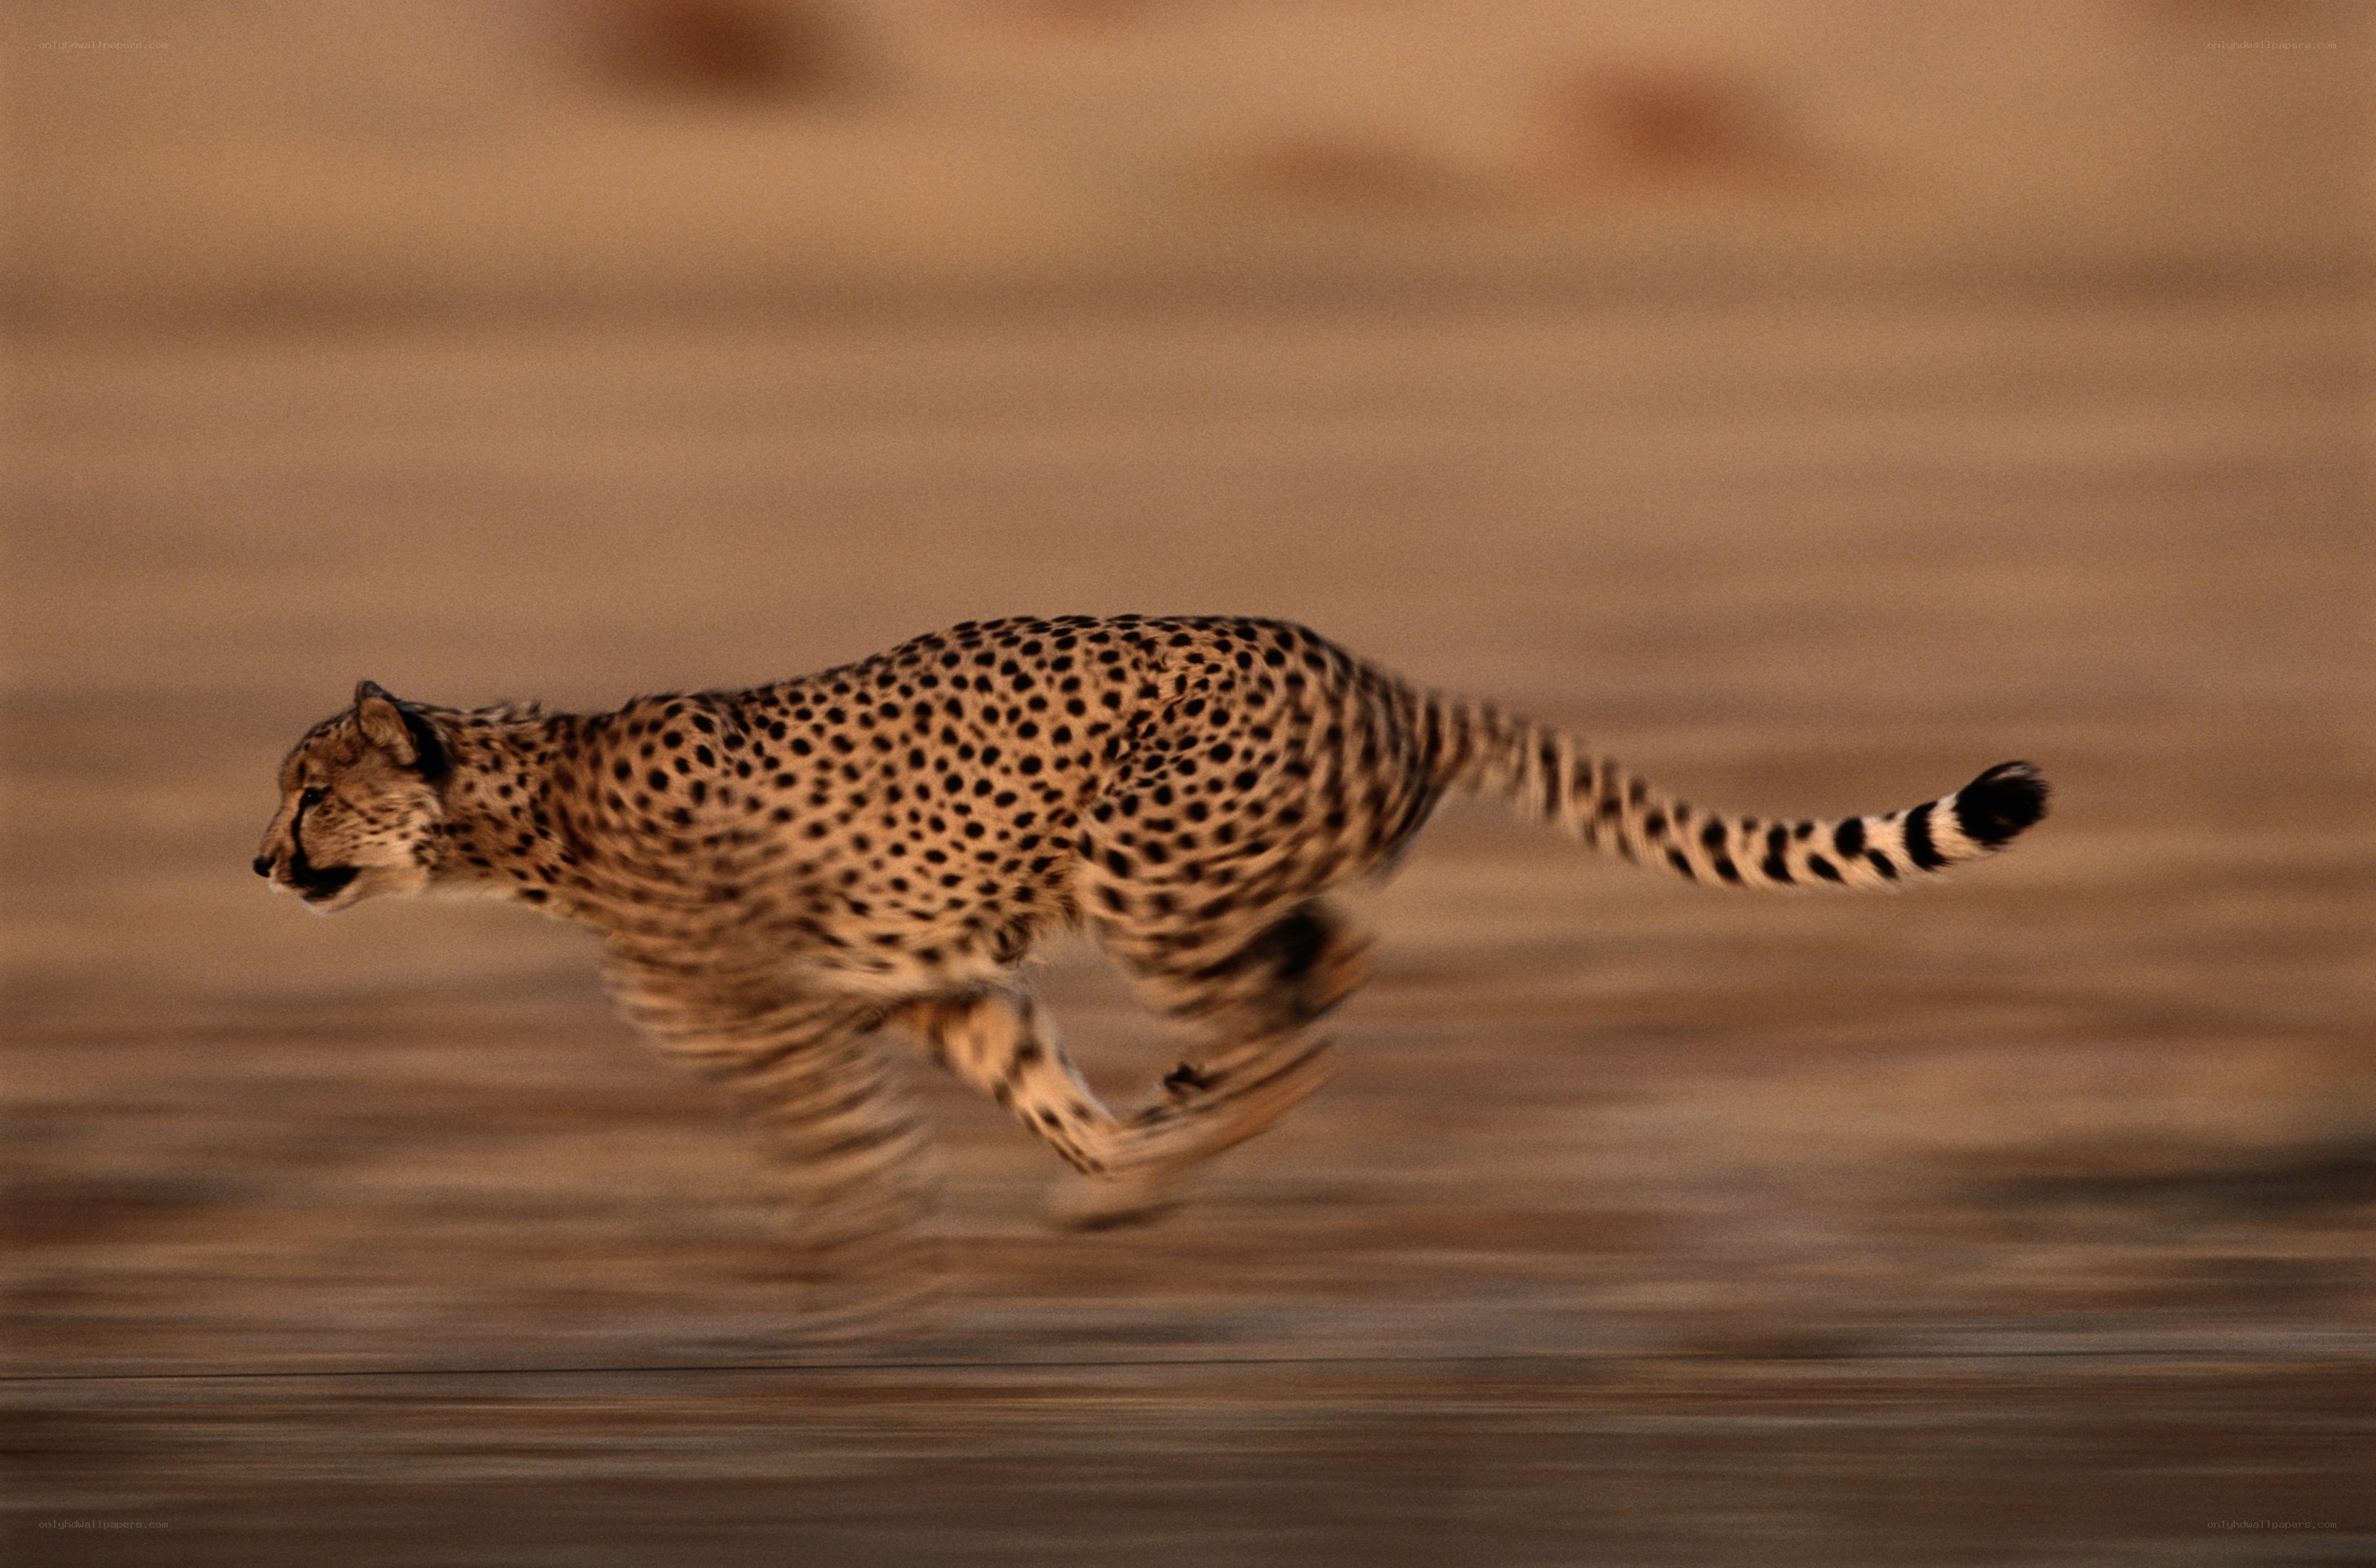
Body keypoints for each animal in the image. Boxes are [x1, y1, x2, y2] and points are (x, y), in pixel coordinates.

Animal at [256, 614, 2048, 1236]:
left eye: (309, 790)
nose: (262, 865)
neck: (520, 804)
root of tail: (1380, 672)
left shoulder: (780, 1025)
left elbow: (840, 1155)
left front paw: (860, 1286)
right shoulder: (934, 983)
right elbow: (1036, 1093)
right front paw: (1110, 1168)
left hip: (1145, 856)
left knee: (1308, 998)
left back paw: (1213, 1109)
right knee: (1318, 975)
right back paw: (1177, 1133)